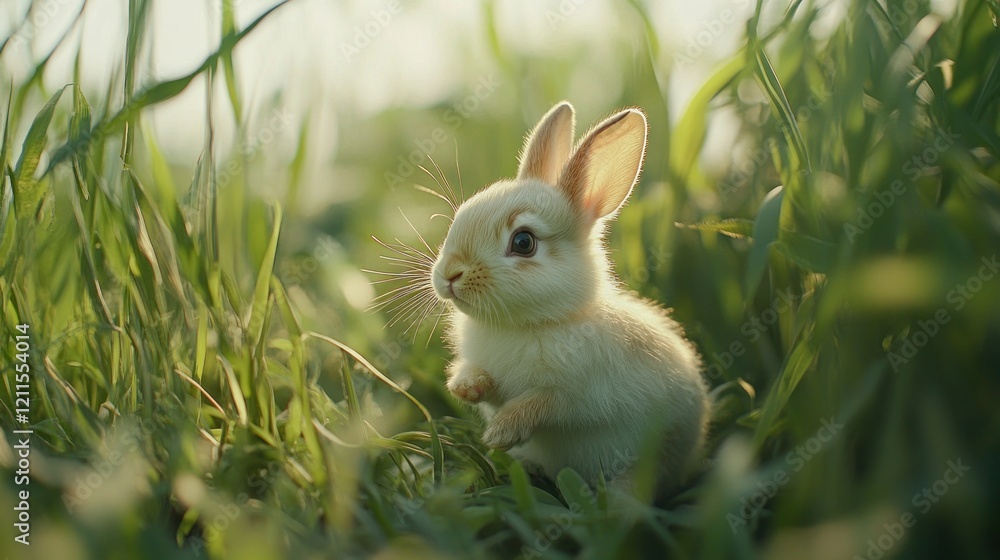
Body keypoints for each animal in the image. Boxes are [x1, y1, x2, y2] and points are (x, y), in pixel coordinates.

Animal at [429, 101, 709, 493]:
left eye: (523, 242)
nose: (449, 275)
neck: (531, 324)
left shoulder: (576, 393)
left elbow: (542, 403)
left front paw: (500, 433)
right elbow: (487, 382)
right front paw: (465, 387)